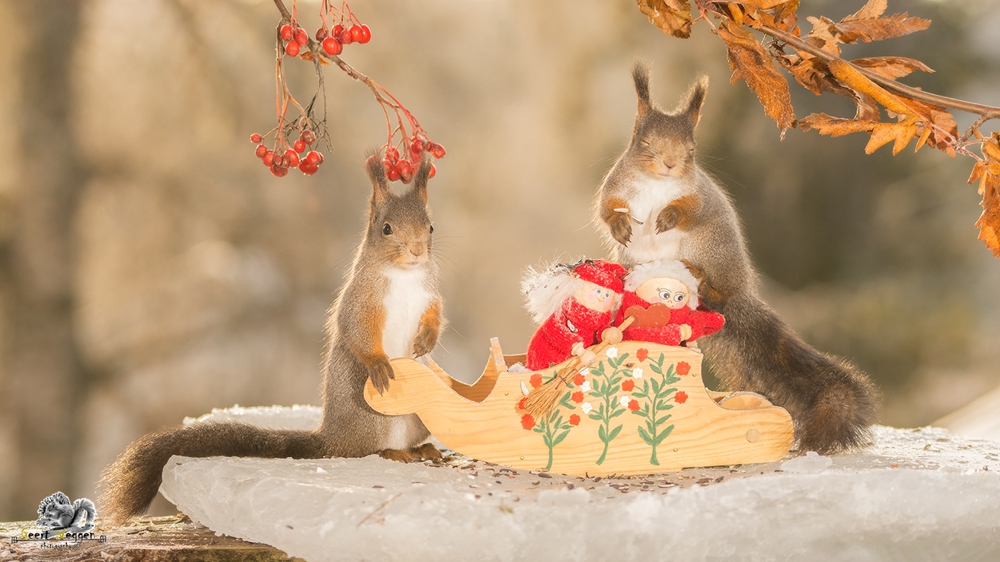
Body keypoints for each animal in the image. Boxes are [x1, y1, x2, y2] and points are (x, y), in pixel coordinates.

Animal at [99, 152, 444, 520]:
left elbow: (436, 317)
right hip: (373, 418)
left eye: (430, 227)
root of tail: (332, 438)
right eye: (386, 229)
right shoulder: (361, 301)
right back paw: (393, 453)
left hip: (421, 417)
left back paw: (421, 449)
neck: (405, 274)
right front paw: (378, 364)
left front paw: (427, 341)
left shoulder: (430, 294)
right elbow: (357, 330)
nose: (417, 251)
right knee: (366, 450)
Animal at [596, 63, 880, 452]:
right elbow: (606, 208)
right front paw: (620, 225)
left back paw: (703, 280)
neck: (657, 184)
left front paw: (669, 216)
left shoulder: (699, 196)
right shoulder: (615, 185)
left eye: (691, 148)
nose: (670, 164)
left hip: (709, 248)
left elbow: (691, 208)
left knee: (718, 286)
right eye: (646, 143)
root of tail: (737, 295)